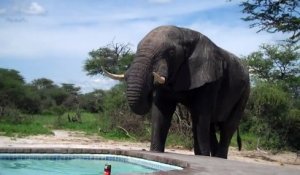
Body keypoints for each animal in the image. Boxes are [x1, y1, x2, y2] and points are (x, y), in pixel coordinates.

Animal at [104, 25, 250, 159]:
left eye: (171, 52)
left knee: (227, 126)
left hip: (244, 93)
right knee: (211, 127)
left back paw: (218, 158)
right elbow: (162, 110)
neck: (186, 33)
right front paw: (155, 152)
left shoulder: (210, 79)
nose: (152, 81)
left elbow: (200, 115)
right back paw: (214, 157)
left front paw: (202, 157)